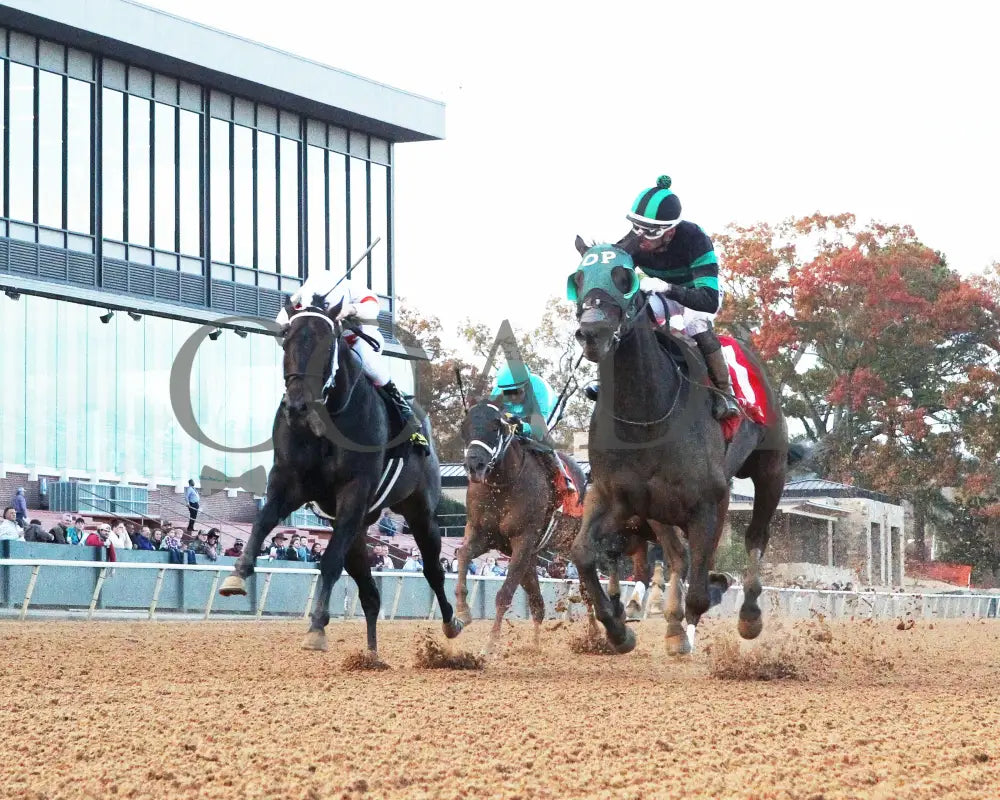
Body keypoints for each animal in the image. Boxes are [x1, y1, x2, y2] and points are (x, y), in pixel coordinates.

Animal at [219, 296, 460, 652]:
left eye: (327, 341)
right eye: (286, 337)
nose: (297, 406)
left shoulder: (354, 491)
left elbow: (330, 559)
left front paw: (317, 626)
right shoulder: (290, 481)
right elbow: (262, 521)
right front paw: (237, 574)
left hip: (419, 511)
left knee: (433, 570)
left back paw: (451, 622)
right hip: (360, 529)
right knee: (371, 594)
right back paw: (371, 656)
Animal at [452, 400, 588, 656]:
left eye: (495, 427)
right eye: (464, 428)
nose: (474, 465)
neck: (502, 483)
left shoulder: (523, 540)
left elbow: (504, 595)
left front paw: (490, 645)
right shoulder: (481, 534)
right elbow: (463, 555)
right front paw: (461, 614)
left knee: (589, 590)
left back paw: (597, 637)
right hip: (532, 558)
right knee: (537, 604)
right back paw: (534, 645)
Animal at [572, 241, 796, 652]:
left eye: (625, 277)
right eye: (578, 277)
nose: (592, 332)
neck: (646, 416)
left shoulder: (708, 501)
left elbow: (700, 582)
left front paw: (685, 628)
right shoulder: (615, 496)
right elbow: (584, 553)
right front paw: (618, 629)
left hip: (771, 470)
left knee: (756, 536)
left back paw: (748, 615)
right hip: (661, 508)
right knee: (677, 555)